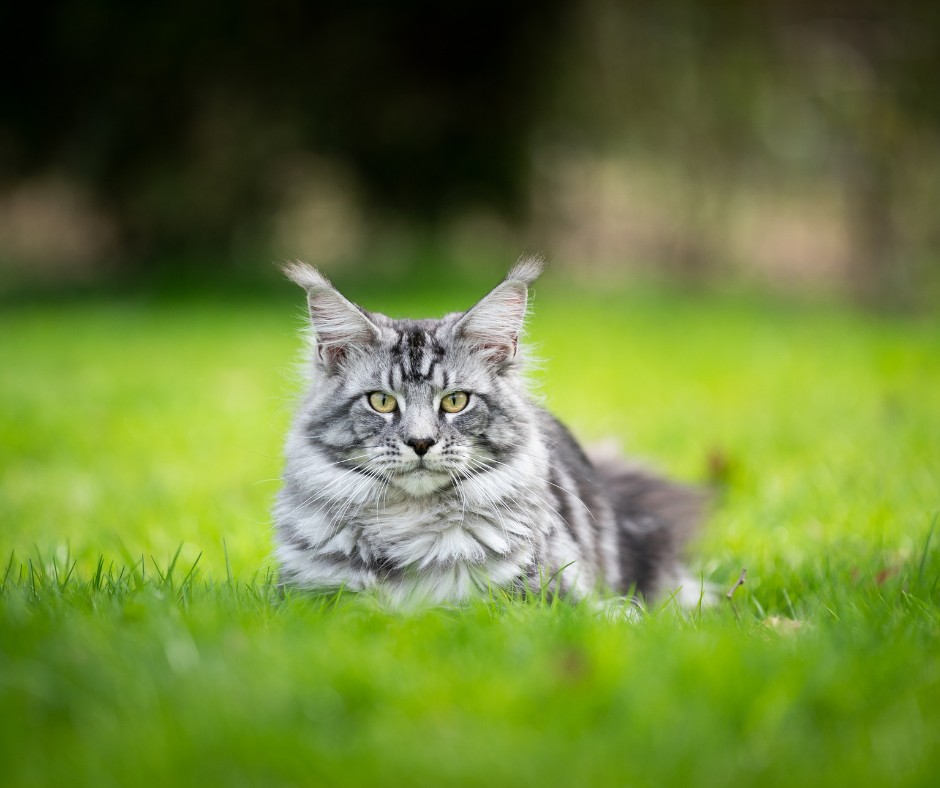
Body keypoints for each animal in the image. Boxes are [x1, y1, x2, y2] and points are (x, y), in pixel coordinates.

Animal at [276, 255, 700, 608]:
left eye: (455, 401)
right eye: (381, 401)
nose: (420, 442)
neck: (409, 522)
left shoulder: (556, 599)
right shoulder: (306, 597)